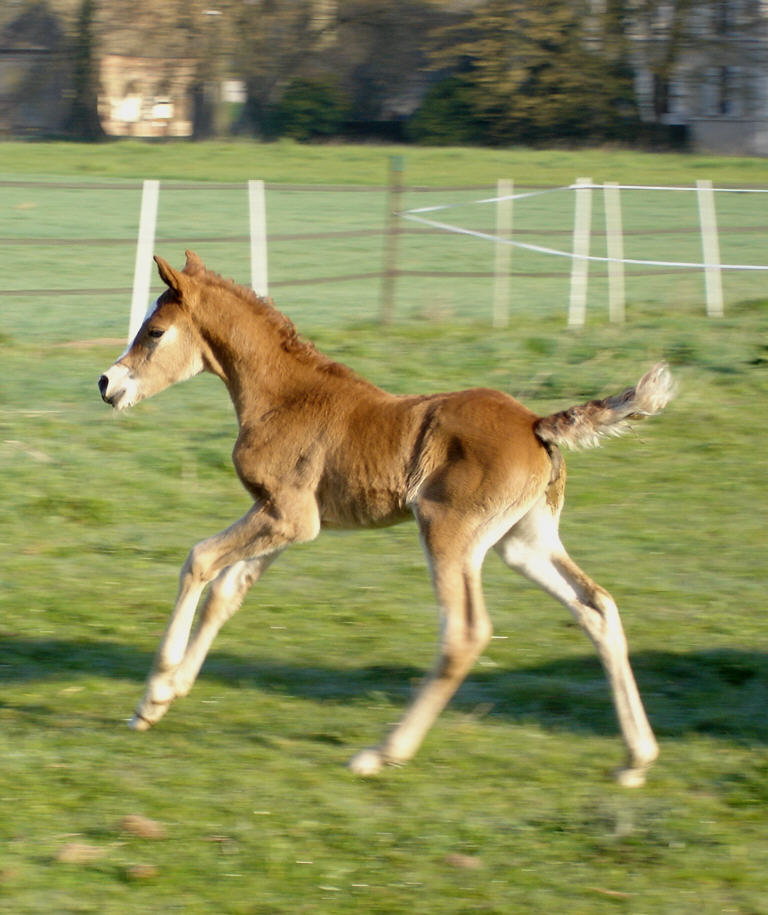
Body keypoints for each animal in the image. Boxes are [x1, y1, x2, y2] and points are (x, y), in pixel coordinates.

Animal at [97, 250, 672, 788]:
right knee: (596, 606)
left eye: (155, 332)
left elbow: (199, 560)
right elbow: (227, 591)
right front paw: (164, 700)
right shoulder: (286, 520)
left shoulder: (289, 516)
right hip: (523, 541)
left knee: (465, 632)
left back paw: (381, 753)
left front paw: (154, 690)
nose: (106, 383)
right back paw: (636, 759)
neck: (284, 396)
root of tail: (537, 423)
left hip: (448, 532)